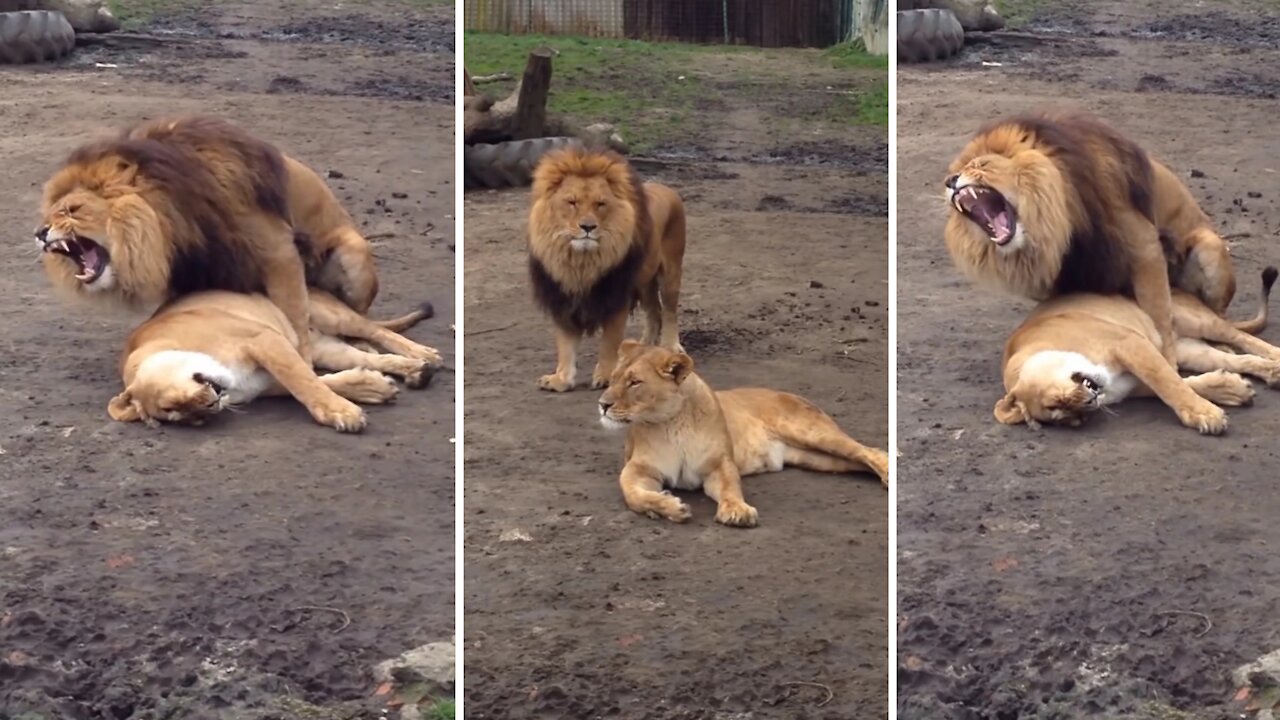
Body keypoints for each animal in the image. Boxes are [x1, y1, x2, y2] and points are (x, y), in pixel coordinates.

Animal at [102, 286, 440, 430]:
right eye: (182, 417)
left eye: (170, 404)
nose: (209, 410)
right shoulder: (269, 379)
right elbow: (321, 382)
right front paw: (373, 389)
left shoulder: (264, 339)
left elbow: (305, 384)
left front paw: (341, 413)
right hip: (325, 346)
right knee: (366, 355)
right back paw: (415, 371)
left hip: (329, 314)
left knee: (378, 332)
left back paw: (424, 355)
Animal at [593, 338, 885, 525]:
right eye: (614, 379)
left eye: (634, 382)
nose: (602, 404)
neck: (670, 424)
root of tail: (789, 393)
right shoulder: (639, 468)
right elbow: (632, 494)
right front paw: (669, 508)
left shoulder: (719, 464)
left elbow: (730, 486)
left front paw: (737, 511)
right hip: (819, 459)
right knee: (859, 460)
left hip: (813, 434)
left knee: (871, 451)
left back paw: (888, 477)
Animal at [947, 109, 1233, 366]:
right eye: (956, 172)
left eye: (981, 165)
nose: (950, 181)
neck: (1061, 218)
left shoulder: (1145, 248)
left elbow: (1160, 317)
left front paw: (1170, 364)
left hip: (1210, 246)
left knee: (1218, 314)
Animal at [998, 263, 1280, 430]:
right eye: (1068, 418)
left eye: (1055, 402)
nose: (1088, 405)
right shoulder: (1136, 380)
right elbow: (1183, 383)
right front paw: (1232, 390)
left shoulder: (1130, 343)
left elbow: (1169, 385)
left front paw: (1204, 415)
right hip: (1189, 349)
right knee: (1235, 359)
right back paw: (1273, 372)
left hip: (1195, 319)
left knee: (1240, 337)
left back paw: (1275, 356)